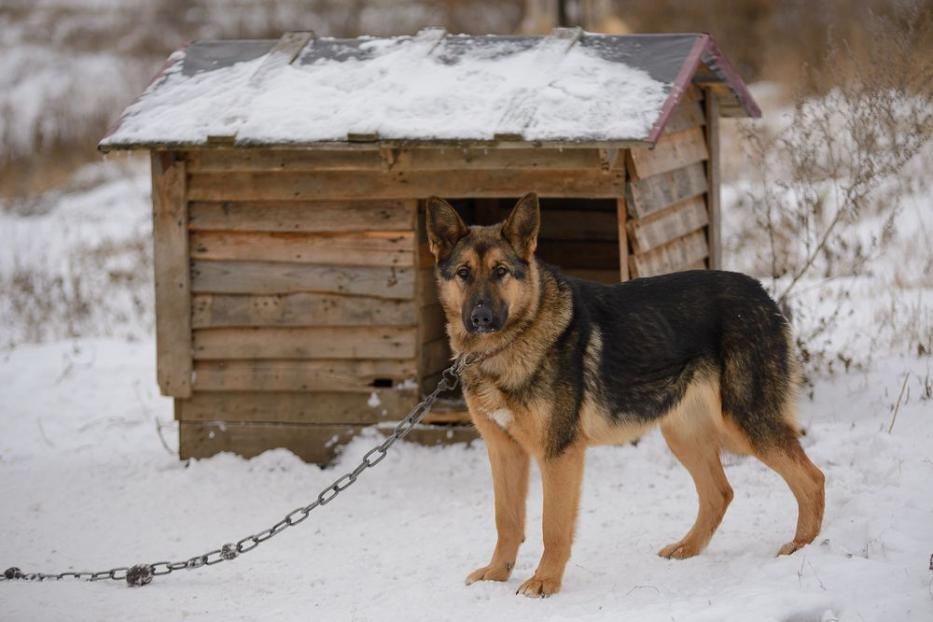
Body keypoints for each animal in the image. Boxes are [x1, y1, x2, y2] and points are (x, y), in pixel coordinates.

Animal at [426, 194, 828, 600]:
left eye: (501, 271)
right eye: (464, 273)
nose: (481, 318)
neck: (506, 345)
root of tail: (761, 291)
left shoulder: (559, 453)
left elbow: (552, 526)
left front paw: (545, 581)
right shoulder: (504, 452)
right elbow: (506, 519)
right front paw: (497, 573)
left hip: (746, 424)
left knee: (812, 478)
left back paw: (800, 548)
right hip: (685, 434)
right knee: (720, 493)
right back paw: (687, 548)